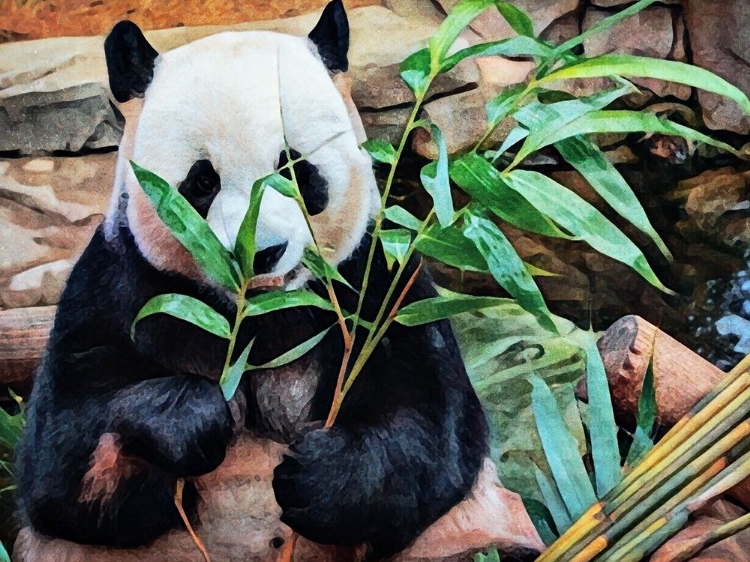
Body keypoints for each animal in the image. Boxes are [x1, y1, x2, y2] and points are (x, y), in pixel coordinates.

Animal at [16, 2, 494, 556]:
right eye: (202, 181)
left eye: (294, 169)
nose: (258, 254)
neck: (259, 315)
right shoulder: (120, 281)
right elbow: (68, 464)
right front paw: (191, 418)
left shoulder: (377, 283)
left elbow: (430, 423)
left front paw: (316, 477)